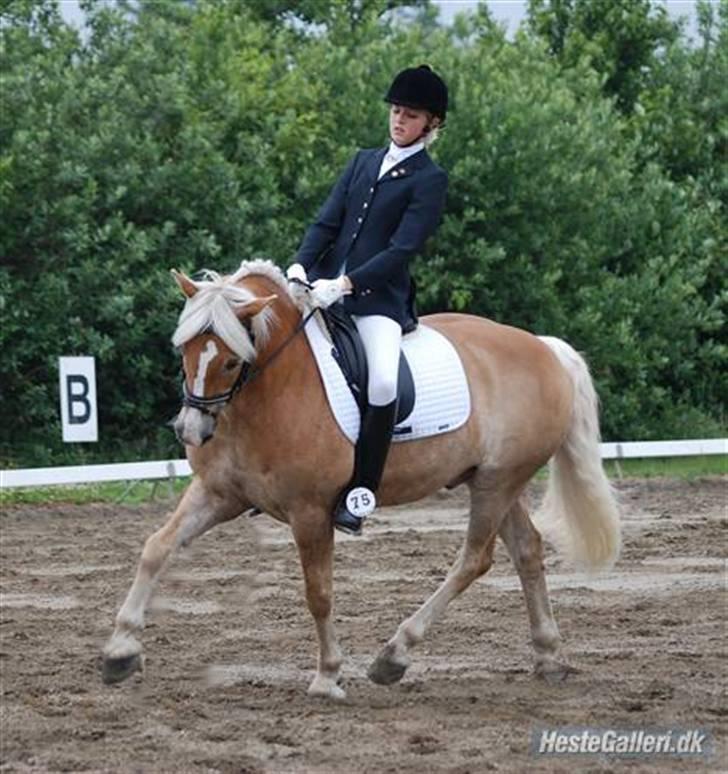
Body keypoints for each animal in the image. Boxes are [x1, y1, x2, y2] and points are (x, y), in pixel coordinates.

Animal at [101, 260, 620, 704]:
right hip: (495, 480)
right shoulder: (217, 493)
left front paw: (327, 676)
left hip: (497, 482)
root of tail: (544, 346)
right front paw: (120, 651)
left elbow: (319, 593)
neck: (267, 392)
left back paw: (394, 655)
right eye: (184, 350)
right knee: (527, 549)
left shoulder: (310, 512)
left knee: (475, 559)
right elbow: (157, 547)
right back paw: (548, 656)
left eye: (230, 361)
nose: (190, 430)